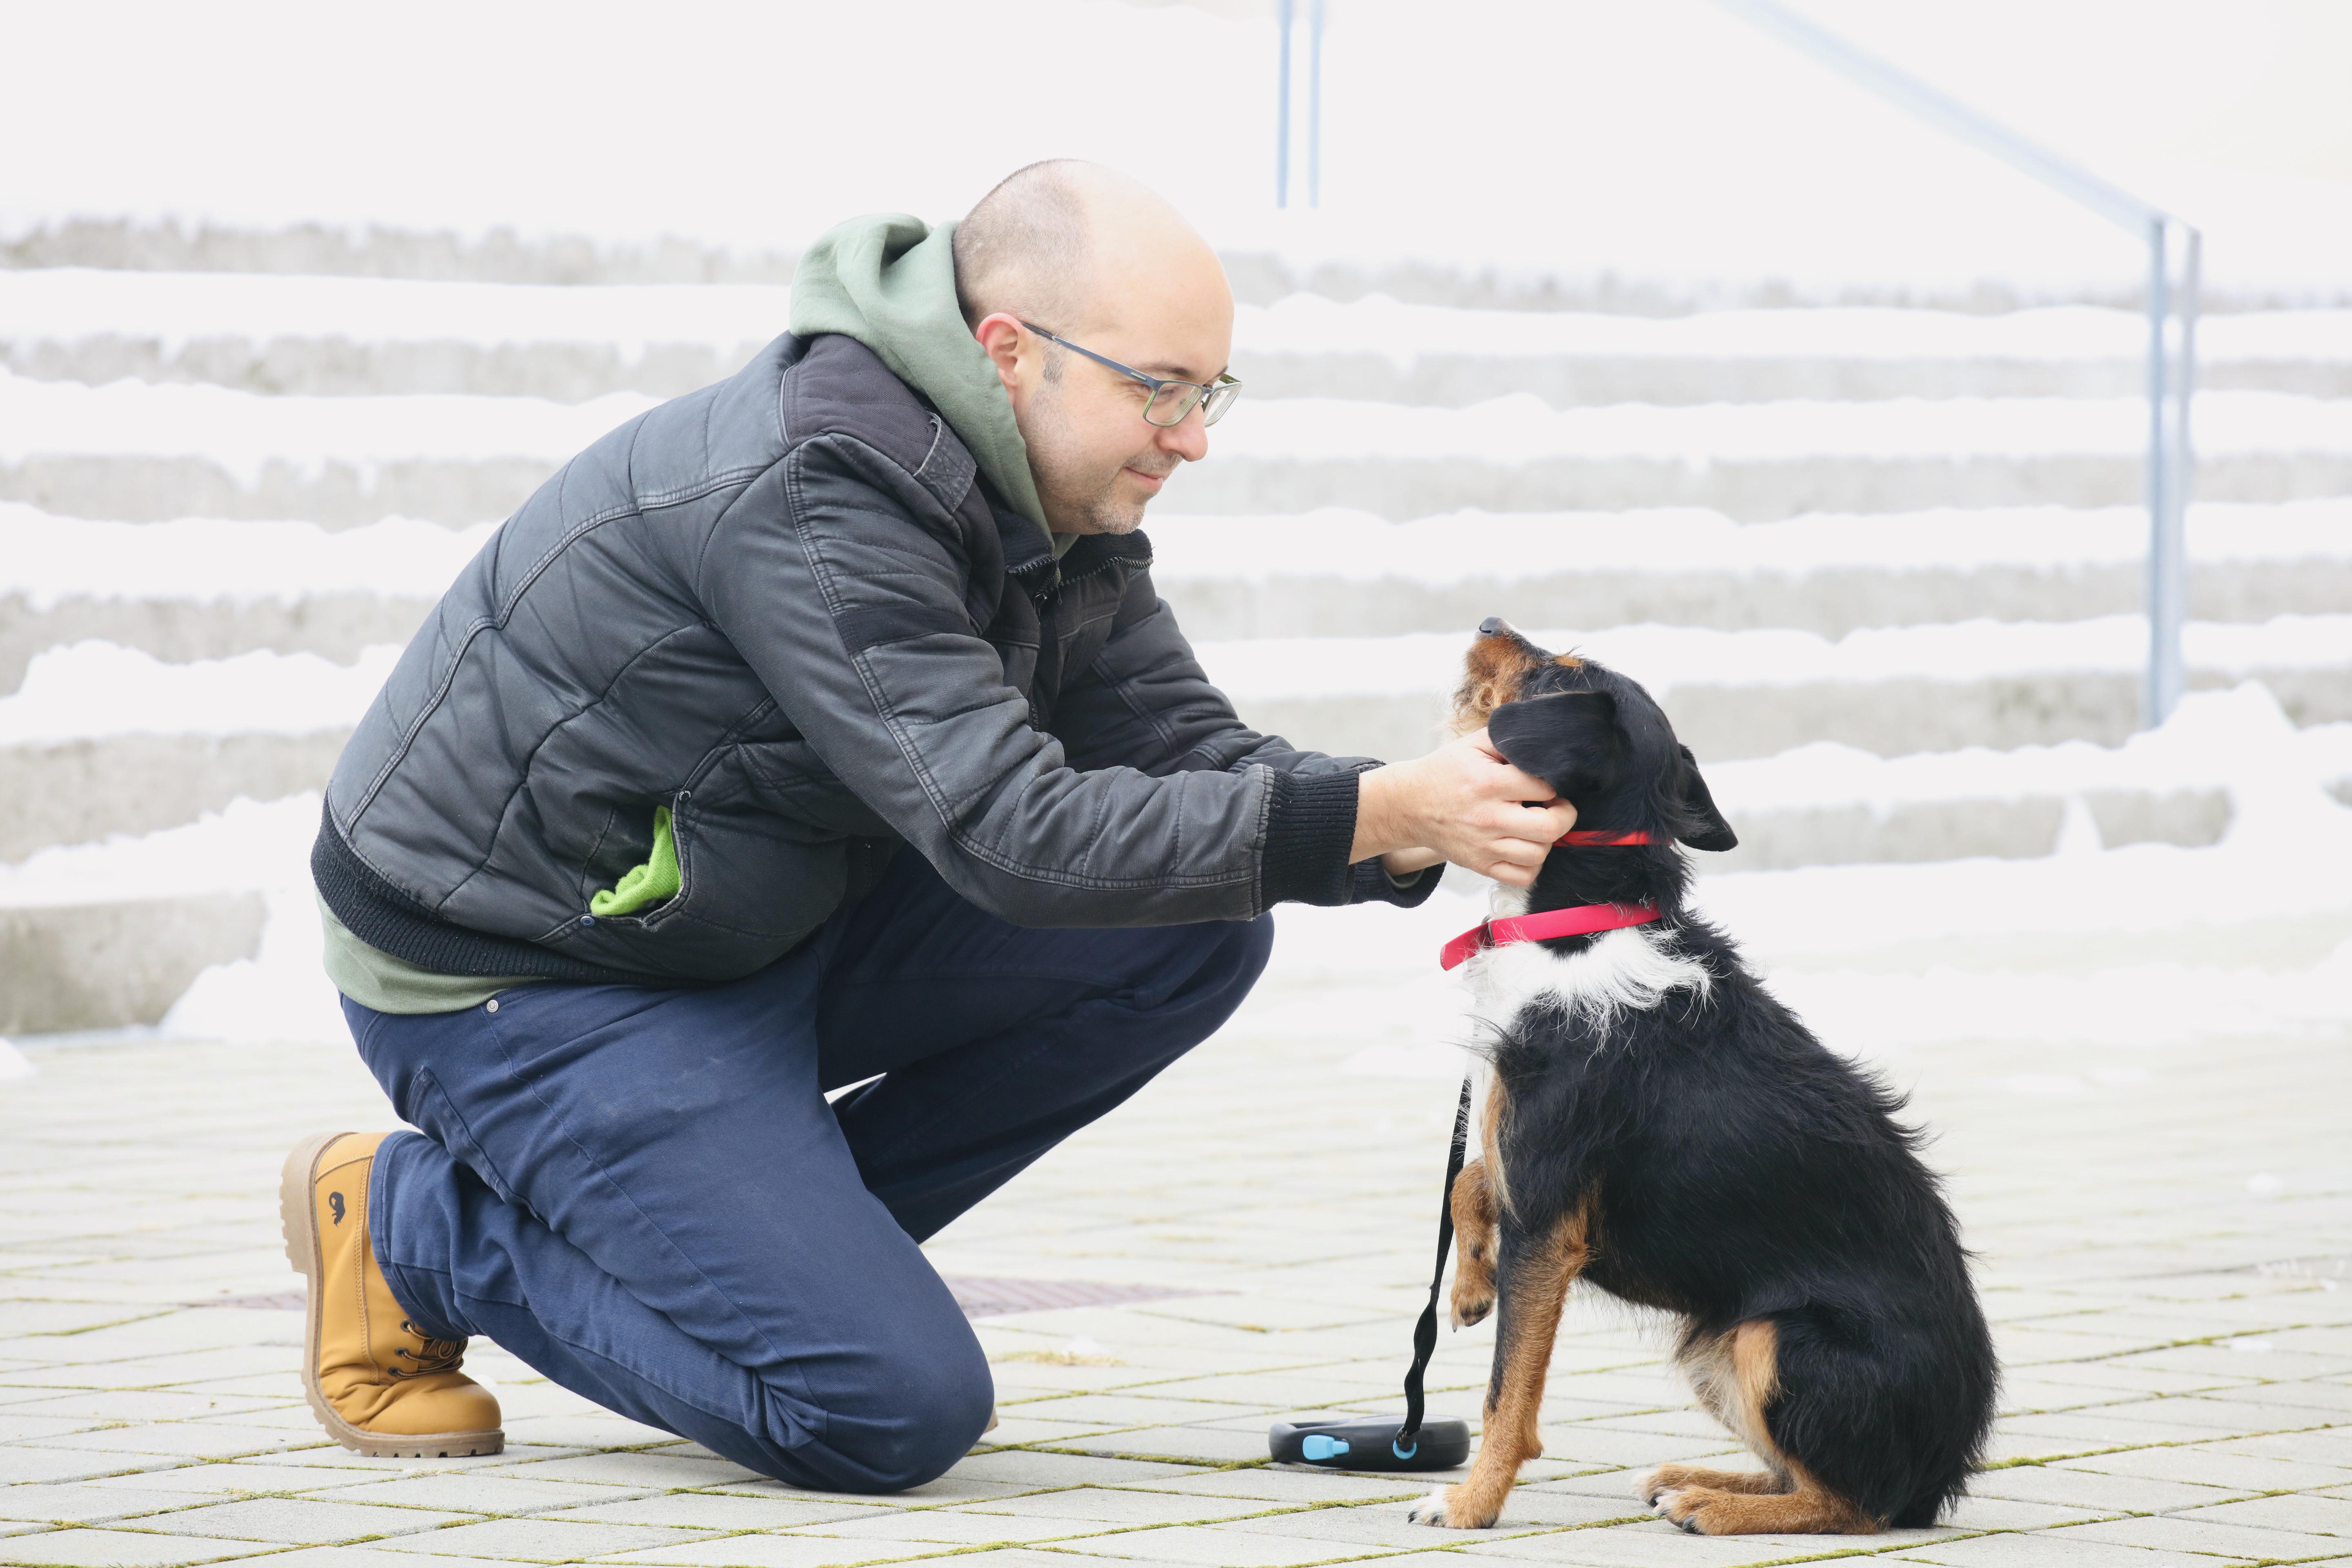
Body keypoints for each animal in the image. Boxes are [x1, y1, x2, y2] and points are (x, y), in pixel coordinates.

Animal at [1401, 620, 1994, 1542]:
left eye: (1557, 675)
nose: (1490, 624)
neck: (1577, 925)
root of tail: (1946, 1466)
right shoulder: (1523, 1155)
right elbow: (1470, 1179)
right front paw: (1467, 1286)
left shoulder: (1551, 1219)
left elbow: (1510, 1391)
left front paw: (1472, 1502)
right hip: (1715, 1345)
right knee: (1808, 1478)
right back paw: (1697, 1478)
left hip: (1768, 1340)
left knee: (1857, 1504)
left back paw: (1712, 1507)